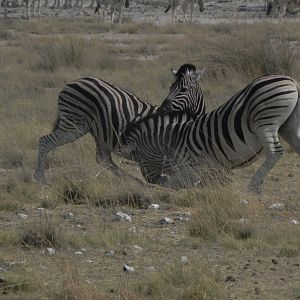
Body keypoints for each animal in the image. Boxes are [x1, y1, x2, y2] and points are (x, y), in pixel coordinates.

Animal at [33, 64, 206, 184]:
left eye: (183, 89)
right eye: (170, 88)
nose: (164, 108)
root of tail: (72, 82)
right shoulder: (162, 159)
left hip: (100, 133)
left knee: (104, 160)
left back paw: (133, 182)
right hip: (74, 124)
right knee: (45, 141)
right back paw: (40, 177)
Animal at [122, 74, 300, 193]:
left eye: (138, 158)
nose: (150, 181)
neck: (175, 139)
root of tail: (292, 80)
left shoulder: (192, 166)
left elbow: (176, 183)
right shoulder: (214, 168)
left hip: (265, 122)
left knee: (275, 152)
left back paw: (253, 184)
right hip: (288, 126)